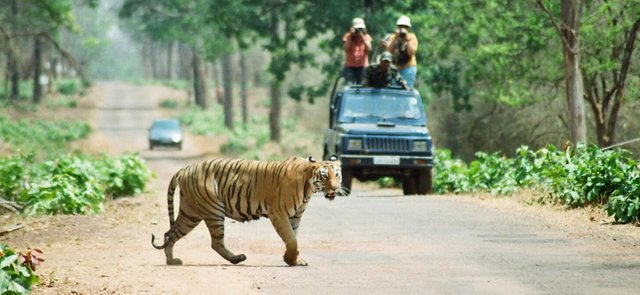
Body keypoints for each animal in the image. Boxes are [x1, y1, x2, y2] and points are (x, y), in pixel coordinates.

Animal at [151, 156, 342, 268]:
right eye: (325, 176)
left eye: (337, 175)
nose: (335, 188)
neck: (308, 186)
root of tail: (186, 168)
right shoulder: (279, 213)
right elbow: (291, 239)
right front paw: (291, 260)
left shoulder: (295, 216)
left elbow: (293, 238)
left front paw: (293, 260)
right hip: (213, 211)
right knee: (216, 243)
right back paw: (237, 258)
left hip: (190, 213)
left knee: (170, 233)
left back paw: (171, 261)